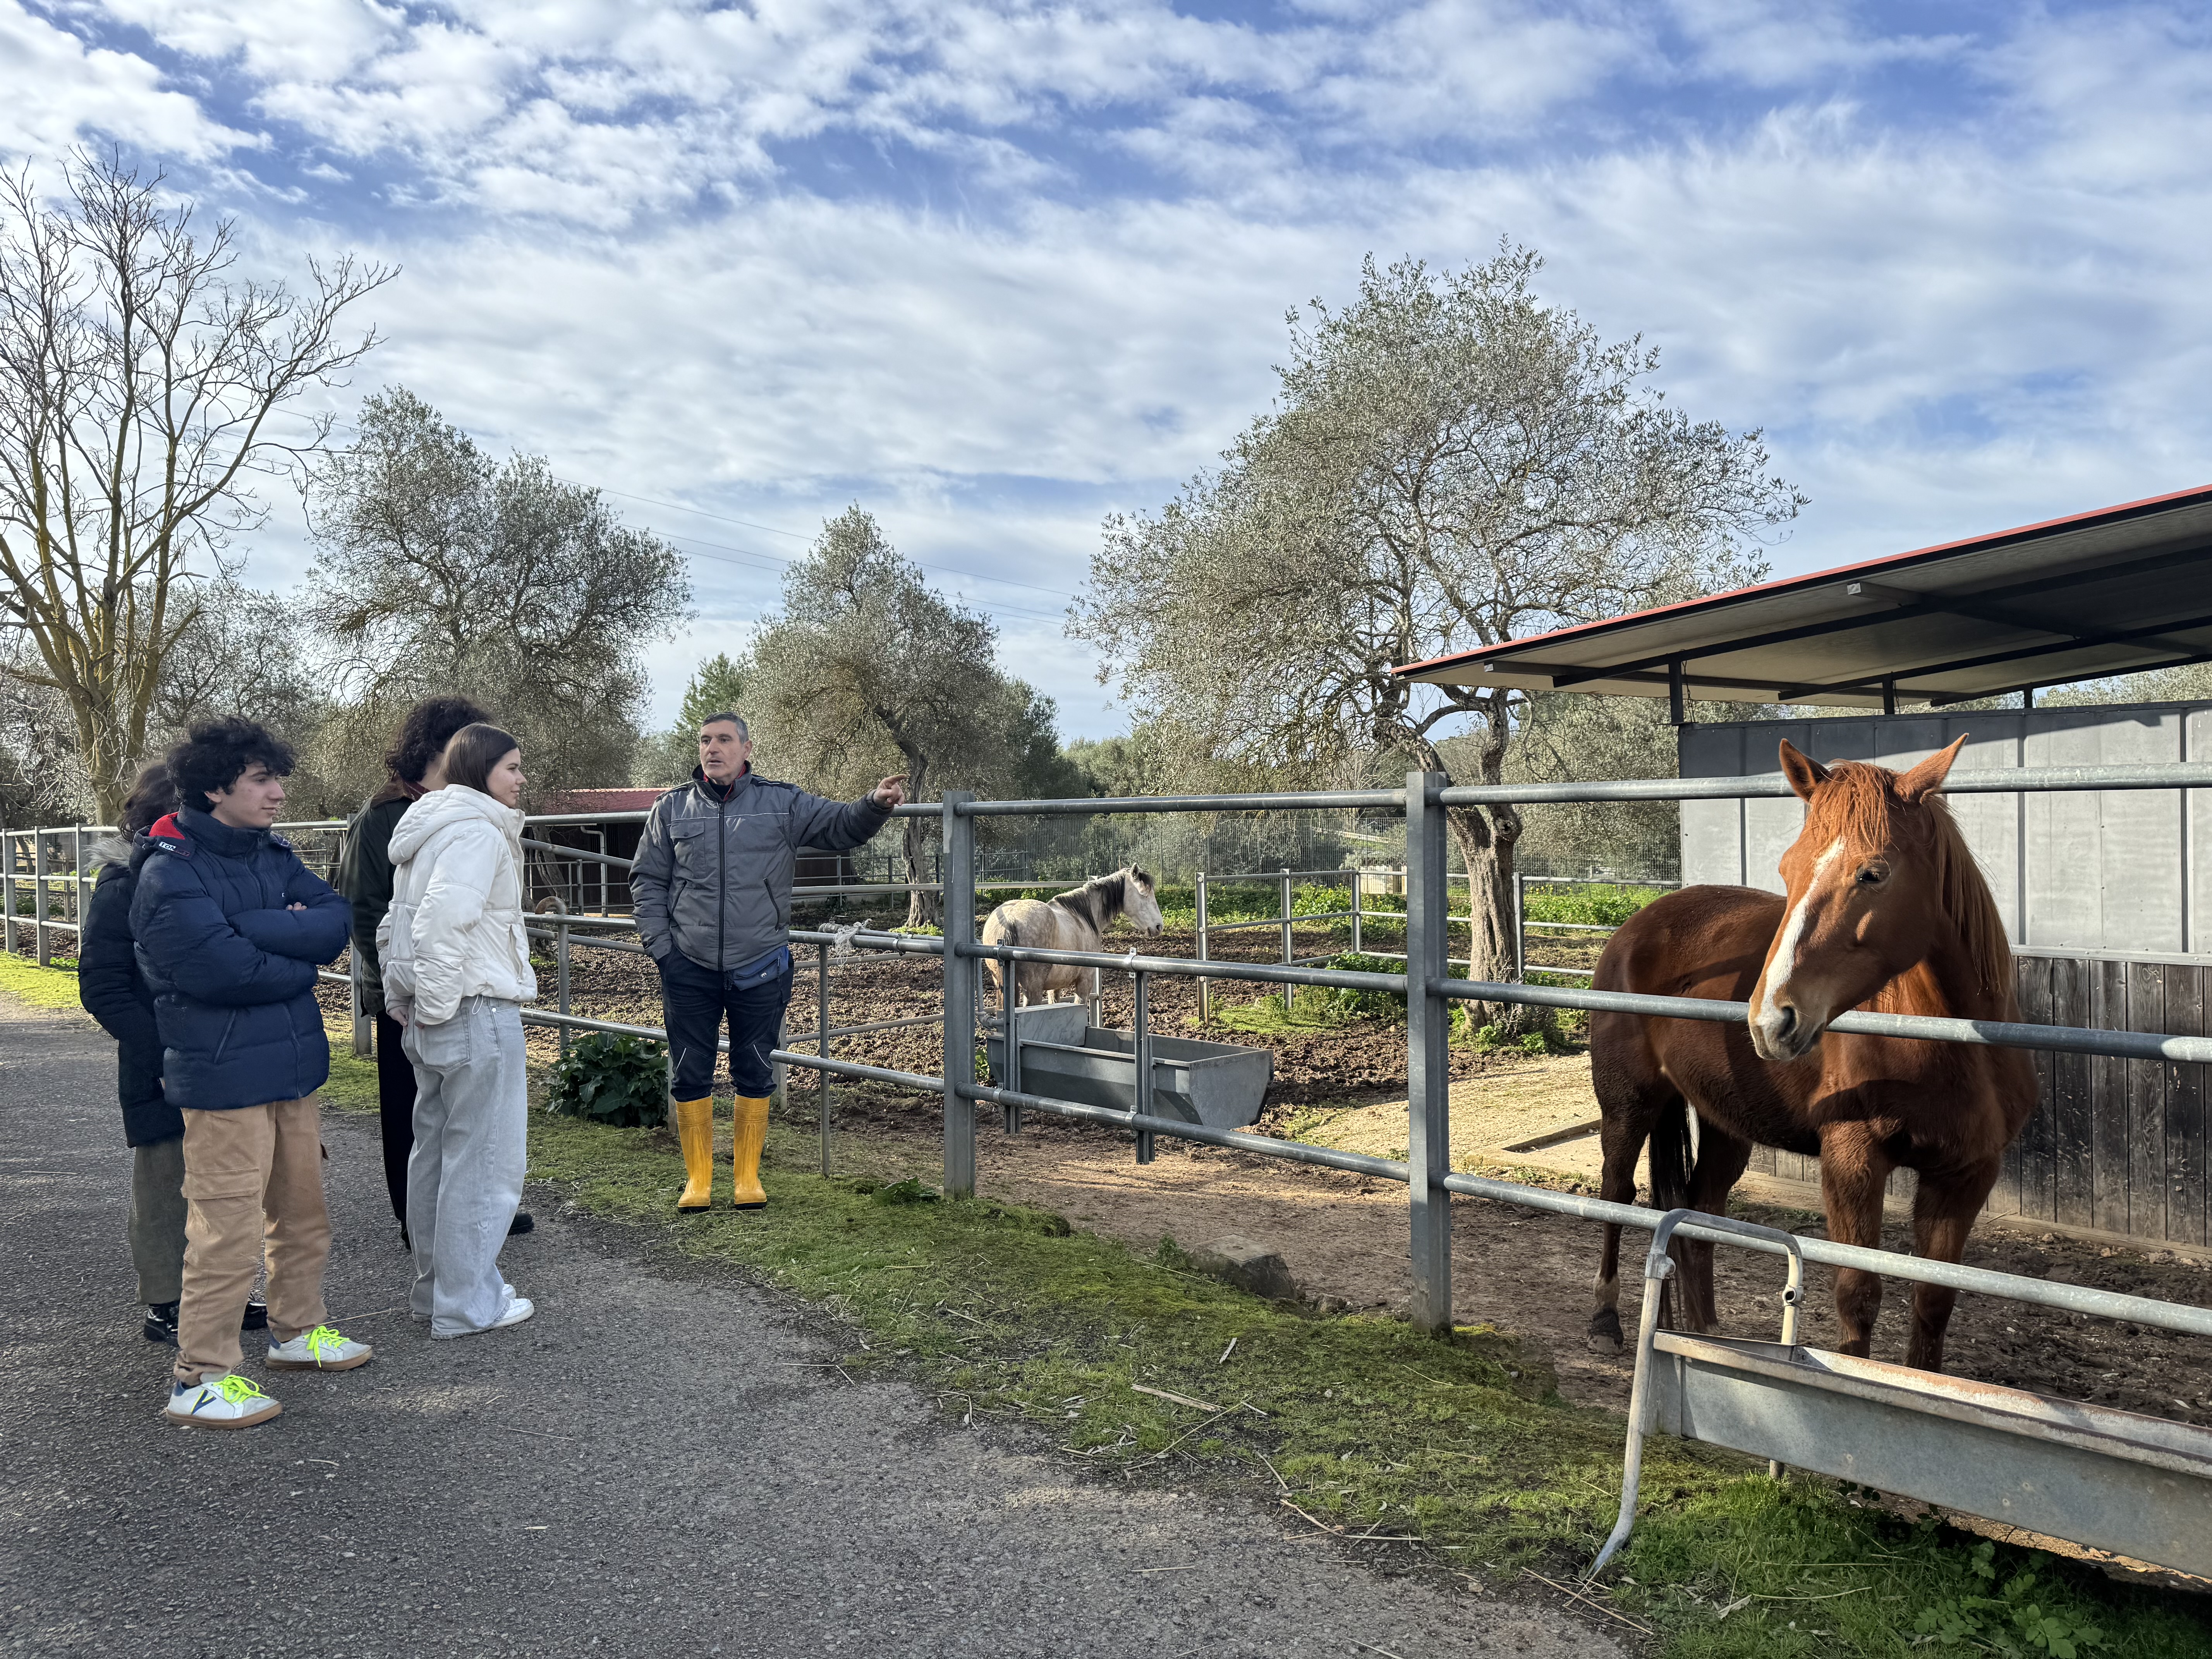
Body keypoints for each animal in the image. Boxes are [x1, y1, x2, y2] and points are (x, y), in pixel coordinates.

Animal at [980, 867, 1165, 1010]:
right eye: (1144, 894)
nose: (1158, 926)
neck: (1084, 916)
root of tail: (1009, 919)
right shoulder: (1085, 982)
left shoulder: (1054, 988)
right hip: (1032, 988)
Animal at [1585, 736, 2034, 1374]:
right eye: (1787, 868)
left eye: (1874, 873)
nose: (1772, 1019)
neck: (1949, 1050)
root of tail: (1640, 922)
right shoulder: (1852, 1162)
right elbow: (1858, 1294)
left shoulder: (1966, 1174)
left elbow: (1933, 1303)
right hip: (1629, 1104)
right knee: (1617, 1194)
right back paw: (1605, 1321)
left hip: (1726, 1123)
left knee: (1699, 1213)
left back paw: (1707, 1335)